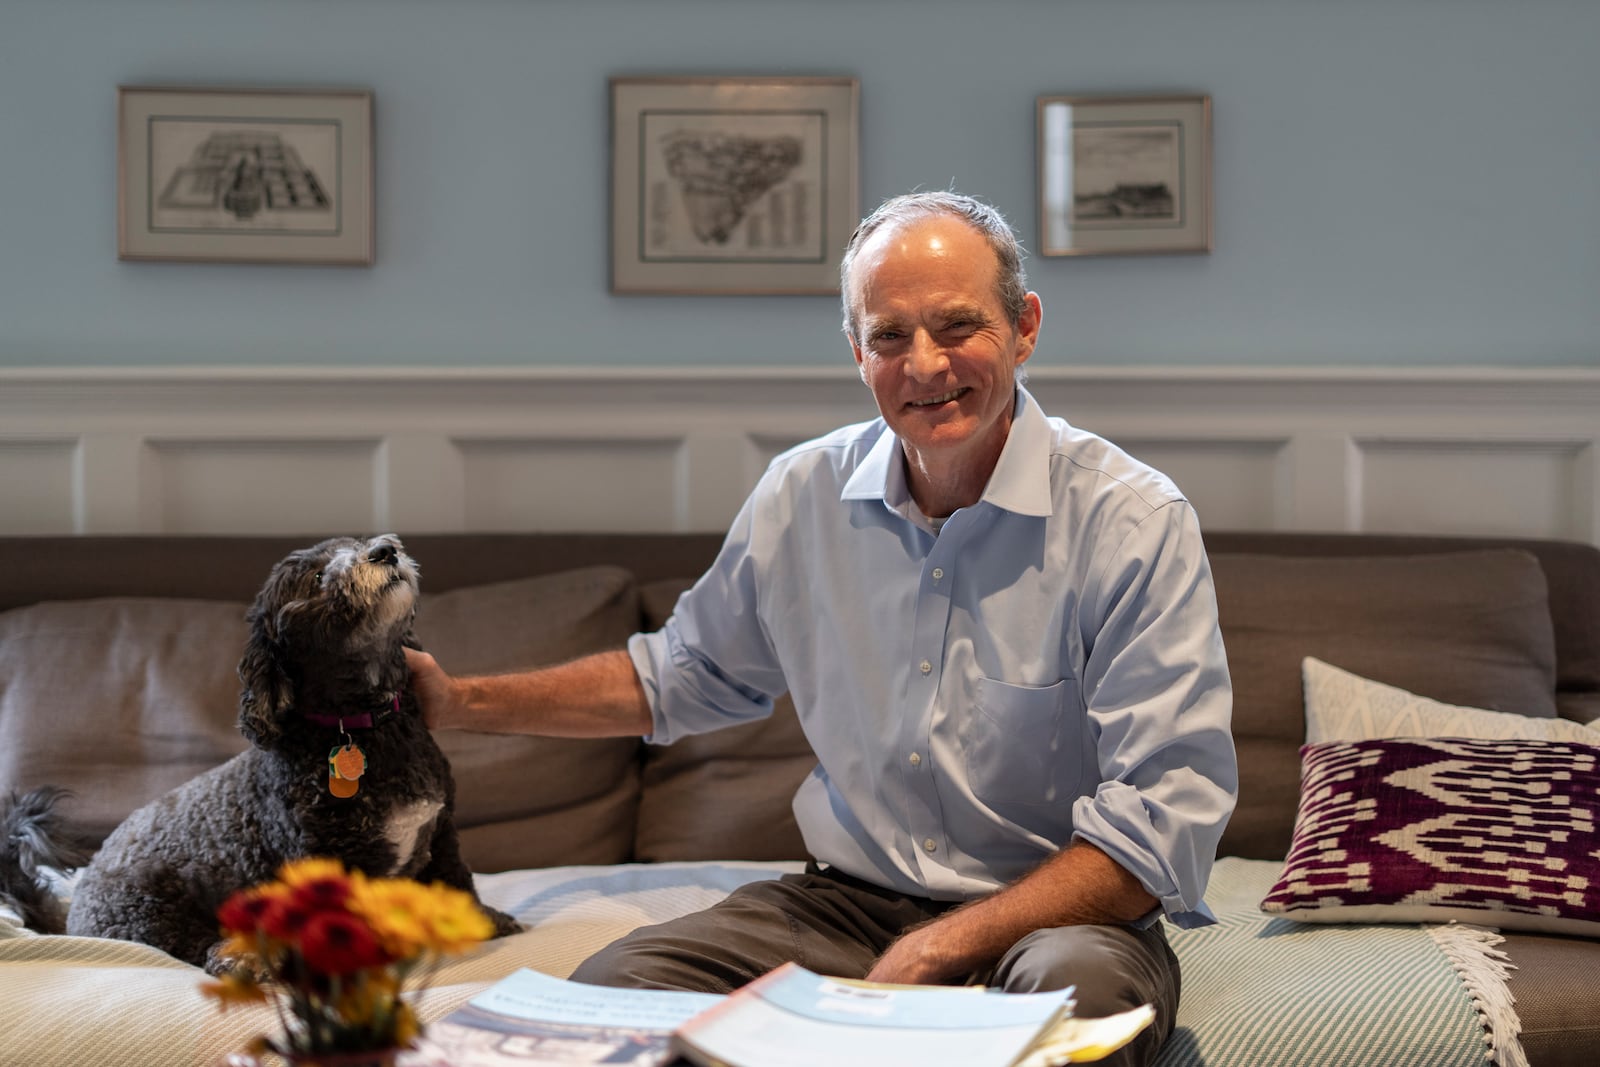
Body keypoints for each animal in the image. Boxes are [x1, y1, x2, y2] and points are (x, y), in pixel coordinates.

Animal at [0, 534, 518, 979]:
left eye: (354, 543)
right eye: (316, 577)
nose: (385, 549)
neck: (364, 727)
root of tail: (72, 913)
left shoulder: (441, 830)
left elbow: (456, 880)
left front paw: (481, 921)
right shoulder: (326, 864)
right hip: (145, 910)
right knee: (194, 946)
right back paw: (242, 959)